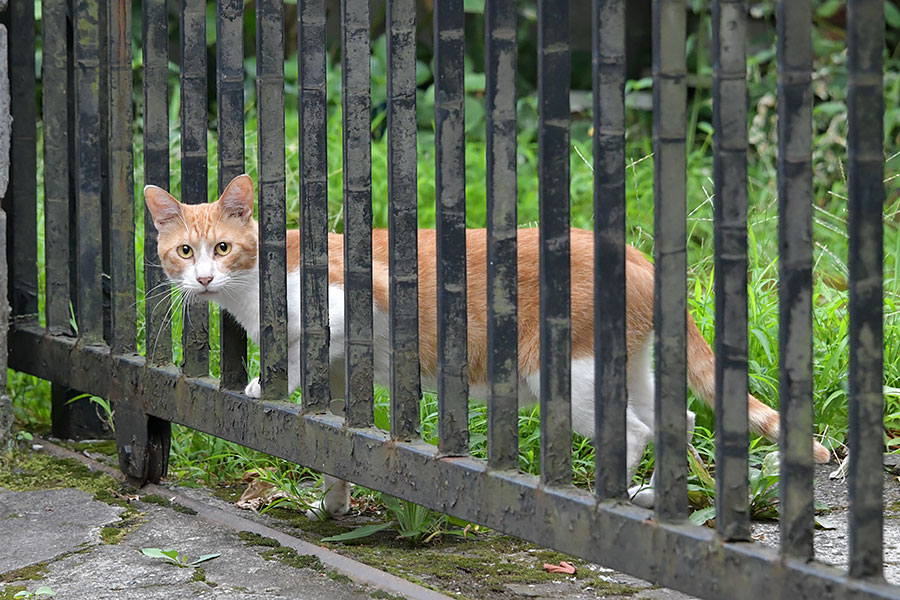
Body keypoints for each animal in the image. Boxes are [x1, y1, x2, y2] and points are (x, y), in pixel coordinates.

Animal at [146, 173, 828, 516]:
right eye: (183, 252)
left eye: (223, 248)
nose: (202, 280)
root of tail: (637, 255)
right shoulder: (341, 379)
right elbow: (335, 442)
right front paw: (333, 505)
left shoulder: (344, 310)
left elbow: (294, 351)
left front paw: (264, 379)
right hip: (629, 365)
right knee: (677, 418)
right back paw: (655, 494)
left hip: (562, 375)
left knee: (632, 432)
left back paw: (615, 494)